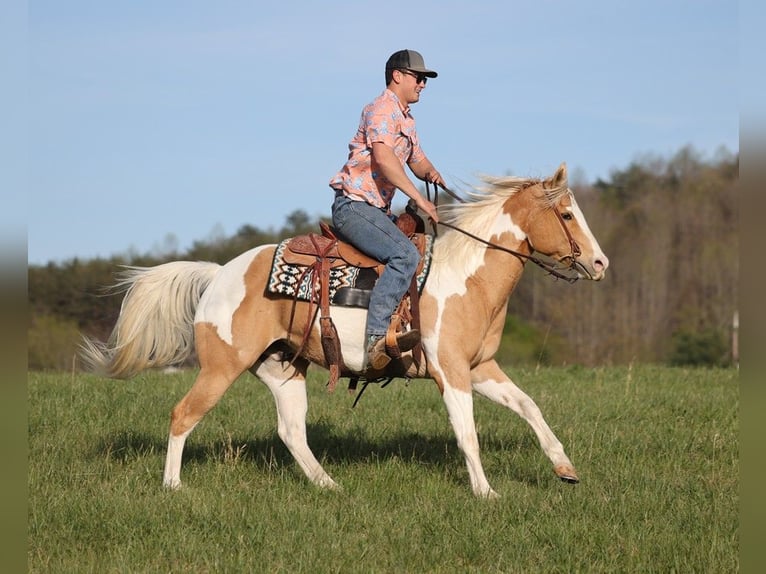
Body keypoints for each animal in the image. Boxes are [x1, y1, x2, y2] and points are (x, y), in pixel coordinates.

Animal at [82, 162, 612, 500]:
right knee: (183, 415)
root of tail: (217, 276)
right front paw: (486, 492)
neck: (466, 277)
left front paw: (565, 469)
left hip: (283, 370)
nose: (600, 263)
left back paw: (330, 486)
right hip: (221, 367)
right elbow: (468, 433)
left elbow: (529, 406)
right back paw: (173, 487)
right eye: (567, 214)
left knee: (291, 431)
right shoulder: (451, 372)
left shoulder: (480, 367)